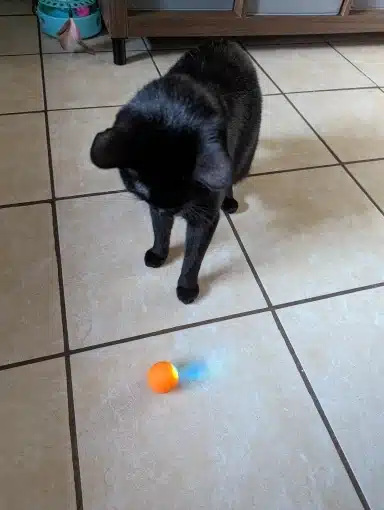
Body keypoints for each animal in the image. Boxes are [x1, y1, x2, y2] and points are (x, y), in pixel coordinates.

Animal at [91, 40, 262, 302]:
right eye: (142, 186)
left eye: (188, 186)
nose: (169, 208)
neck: (174, 109)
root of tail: (226, 41)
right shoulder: (156, 207)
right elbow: (160, 231)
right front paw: (159, 253)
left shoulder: (204, 215)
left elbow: (193, 257)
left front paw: (187, 287)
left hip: (243, 155)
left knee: (232, 174)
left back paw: (229, 201)